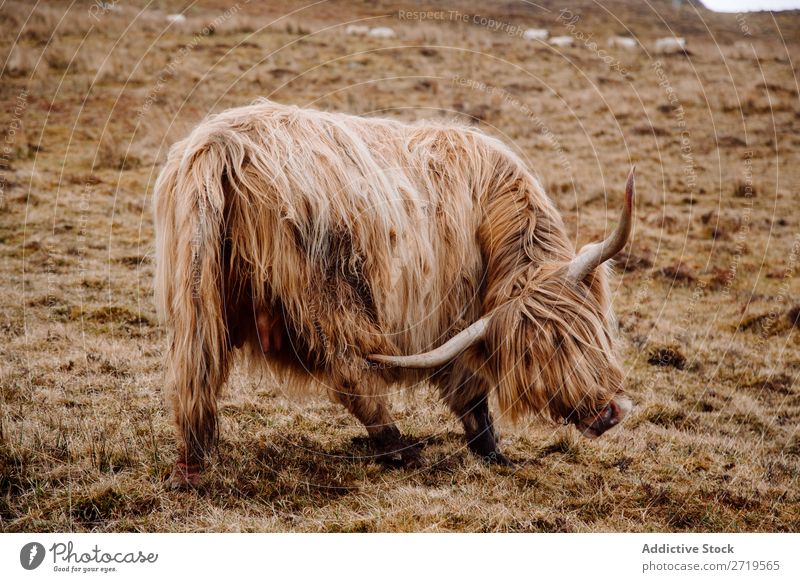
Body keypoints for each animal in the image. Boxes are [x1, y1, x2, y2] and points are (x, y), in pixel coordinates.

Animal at [153, 99, 636, 488]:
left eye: (583, 335)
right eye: (538, 353)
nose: (607, 415)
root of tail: (224, 144)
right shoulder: (454, 319)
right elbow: (472, 396)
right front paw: (495, 455)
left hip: (196, 293)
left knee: (195, 373)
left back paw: (189, 470)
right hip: (330, 294)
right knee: (351, 373)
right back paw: (400, 449)